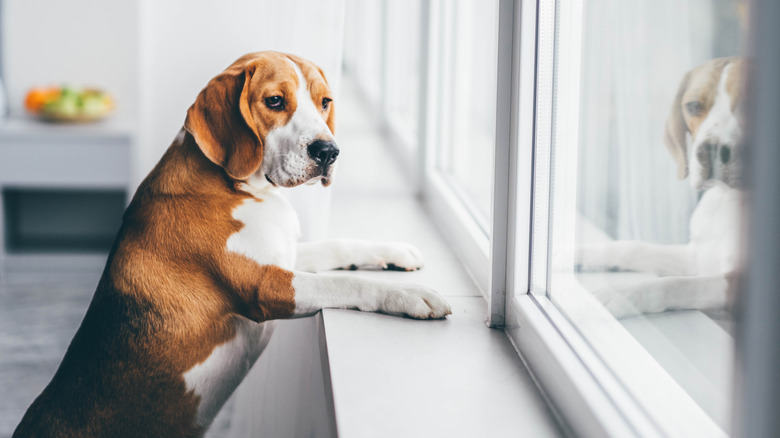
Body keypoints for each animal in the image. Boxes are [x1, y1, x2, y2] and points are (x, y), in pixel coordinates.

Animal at [13, 52, 450, 438]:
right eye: (275, 101)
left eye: (325, 102)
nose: (329, 151)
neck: (239, 186)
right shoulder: (268, 286)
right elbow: (345, 283)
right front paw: (412, 296)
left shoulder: (285, 255)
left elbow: (340, 246)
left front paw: (395, 252)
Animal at [580, 57, 744, 318]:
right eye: (694, 106)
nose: (709, 151)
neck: (728, 200)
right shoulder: (696, 257)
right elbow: (635, 248)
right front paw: (578, 253)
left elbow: (680, 284)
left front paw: (625, 294)